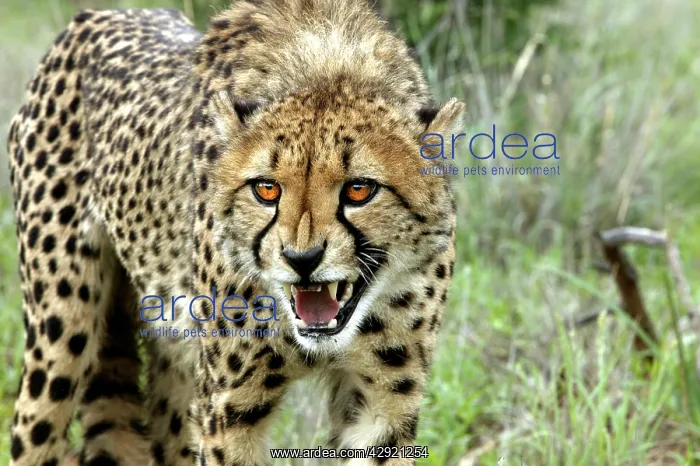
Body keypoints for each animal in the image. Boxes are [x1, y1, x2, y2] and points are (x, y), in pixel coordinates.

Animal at [5, 0, 464, 464]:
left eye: (359, 189)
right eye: (266, 189)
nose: (302, 260)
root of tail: (99, 15)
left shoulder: (383, 402)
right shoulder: (229, 406)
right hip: (61, 337)